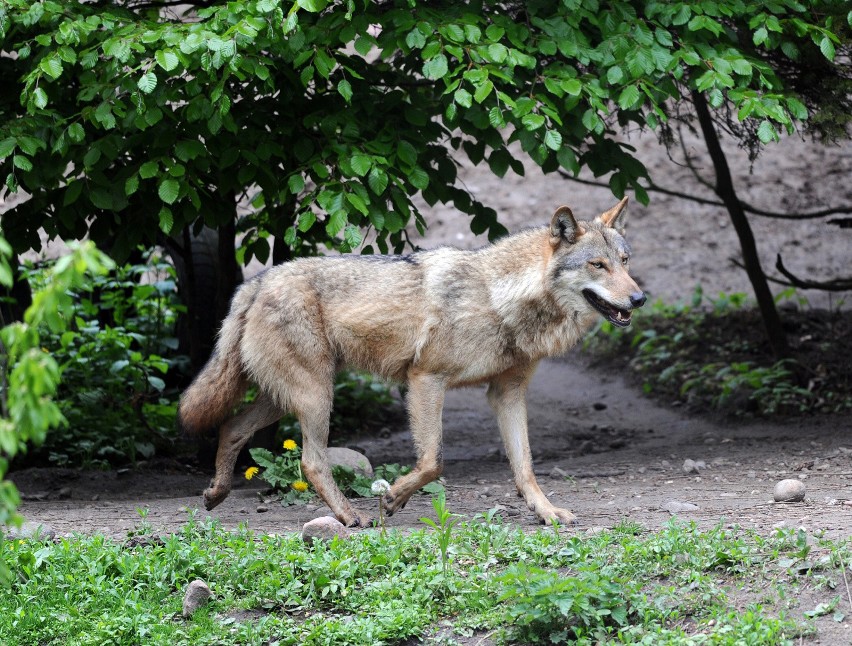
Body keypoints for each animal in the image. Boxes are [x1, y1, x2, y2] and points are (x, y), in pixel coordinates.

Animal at [180, 199, 644, 532]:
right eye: (597, 265)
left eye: (625, 261)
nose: (639, 298)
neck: (499, 298)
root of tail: (257, 281)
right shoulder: (426, 380)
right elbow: (433, 461)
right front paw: (392, 499)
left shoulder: (507, 393)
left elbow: (525, 466)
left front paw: (546, 512)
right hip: (315, 396)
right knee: (310, 460)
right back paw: (349, 516)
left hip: (287, 398)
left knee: (231, 427)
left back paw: (215, 493)